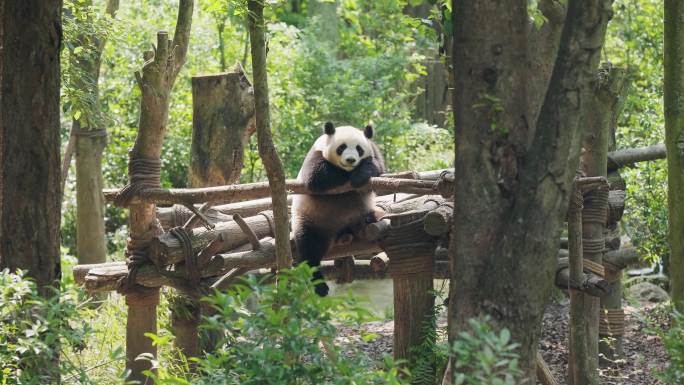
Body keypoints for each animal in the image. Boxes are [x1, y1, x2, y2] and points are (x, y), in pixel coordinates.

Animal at [292, 121, 388, 296]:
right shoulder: (315, 153)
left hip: (362, 214)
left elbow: (378, 169)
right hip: (312, 220)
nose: (350, 160)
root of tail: (340, 233)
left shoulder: (373, 151)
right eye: (341, 147)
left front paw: (359, 176)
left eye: (359, 149)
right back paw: (320, 286)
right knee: (309, 249)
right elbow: (316, 175)